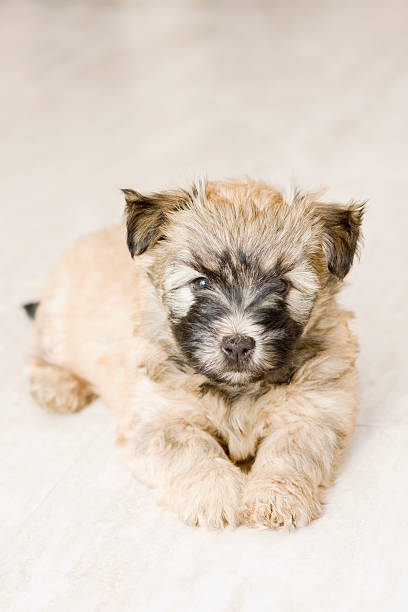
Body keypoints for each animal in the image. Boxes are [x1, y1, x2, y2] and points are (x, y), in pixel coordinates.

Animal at [26, 178, 364, 532]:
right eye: (200, 282)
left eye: (281, 285)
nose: (238, 345)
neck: (237, 389)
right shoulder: (161, 420)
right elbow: (194, 451)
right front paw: (214, 497)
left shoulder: (312, 415)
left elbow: (287, 455)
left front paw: (275, 499)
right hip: (58, 323)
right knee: (39, 351)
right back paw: (57, 386)